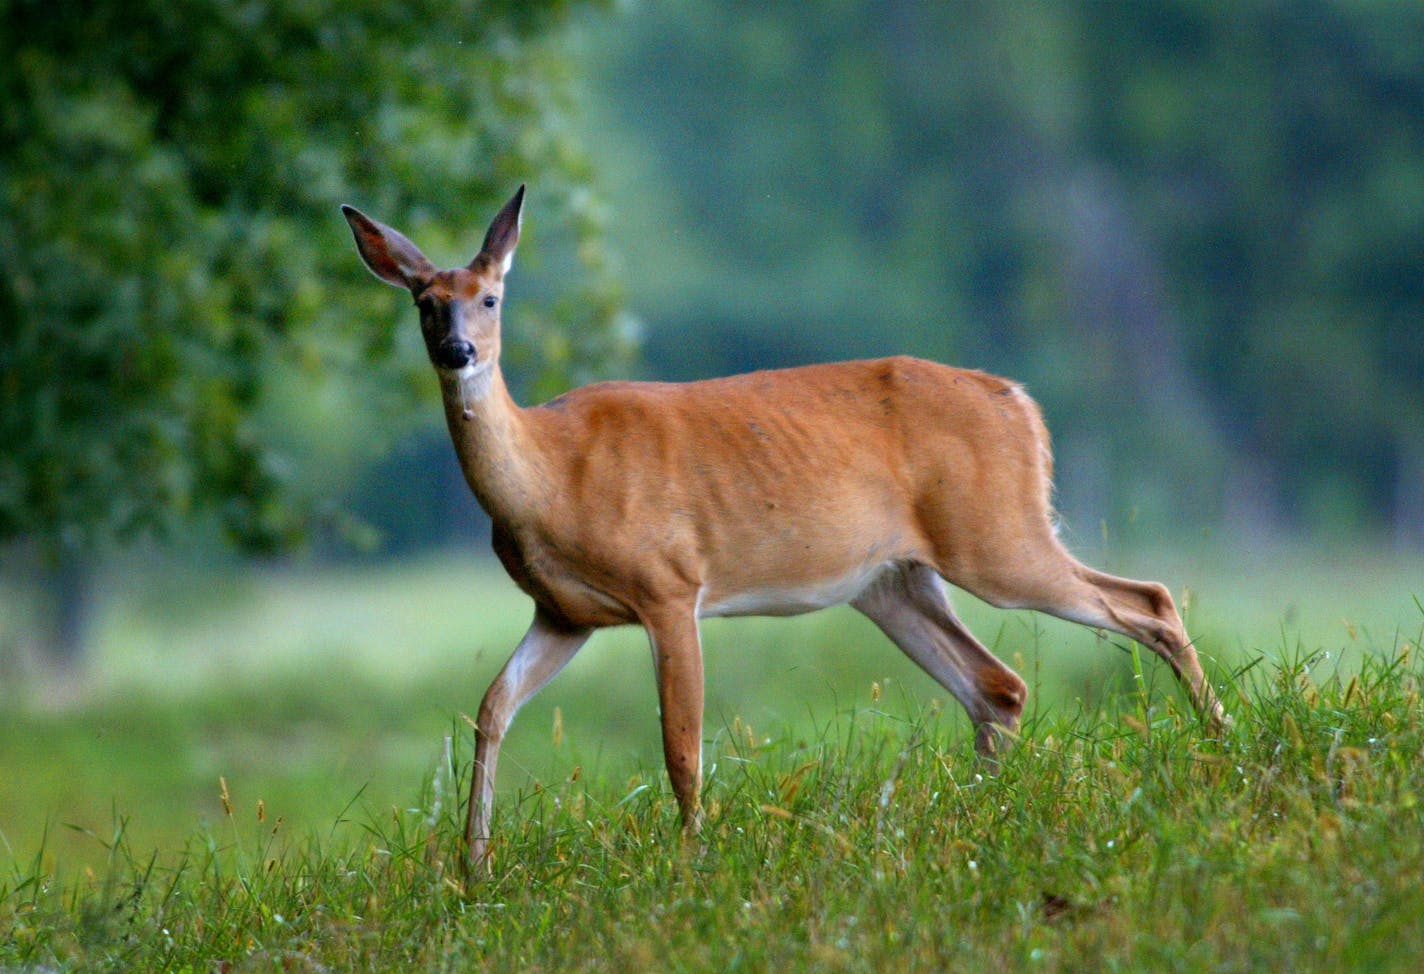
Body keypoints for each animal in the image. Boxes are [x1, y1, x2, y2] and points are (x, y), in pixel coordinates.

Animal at [338, 182, 1230, 877]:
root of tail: (1019, 402)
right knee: (998, 684)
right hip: (892, 579)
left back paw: (1221, 741)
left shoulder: (670, 585)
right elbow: (490, 707)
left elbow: (681, 745)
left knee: (1147, 600)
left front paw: (692, 859)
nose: (458, 351)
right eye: (425, 303)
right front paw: (472, 865)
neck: (551, 480)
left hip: (995, 535)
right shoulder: (564, 613)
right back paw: (983, 812)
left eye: (491, 298)